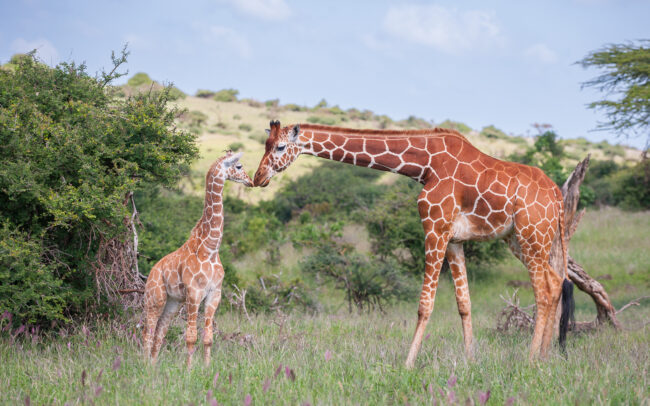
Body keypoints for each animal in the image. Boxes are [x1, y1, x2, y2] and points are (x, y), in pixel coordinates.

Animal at [143, 151, 253, 367]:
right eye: (238, 166)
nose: (250, 181)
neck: (210, 248)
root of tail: (151, 271)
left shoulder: (214, 293)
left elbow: (208, 337)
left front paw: (207, 368)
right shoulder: (194, 293)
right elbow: (191, 336)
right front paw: (189, 369)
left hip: (172, 302)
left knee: (159, 332)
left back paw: (153, 367)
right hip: (155, 299)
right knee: (147, 333)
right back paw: (141, 365)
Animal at [253, 120, 574, 368]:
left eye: (279, 147)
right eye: (266, 144)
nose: (258, 178)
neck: (425, 165)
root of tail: (557, 195)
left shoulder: (434, 227)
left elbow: (425, 304)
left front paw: (408, 363)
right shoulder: (454, 238)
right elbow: (464, 302)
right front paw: (470, 360)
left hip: (532, 235)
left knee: (543, 290)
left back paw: (531, 359)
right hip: (522, 239)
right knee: (555, 282)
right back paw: (545, 357)